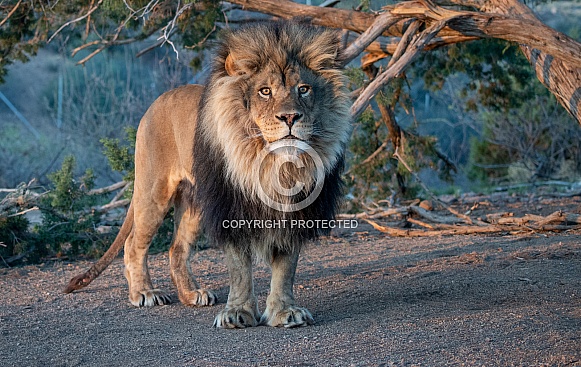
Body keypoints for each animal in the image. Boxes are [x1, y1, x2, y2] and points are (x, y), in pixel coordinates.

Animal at [65, 20, 352, 330]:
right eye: (265, 91)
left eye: (304, 89)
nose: (289, 117)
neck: (275, 165)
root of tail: (158, 100)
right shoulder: (230, 206)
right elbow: (239, 269)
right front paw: (237, 313)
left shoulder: (295, 211)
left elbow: (286, 268)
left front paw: (284, 312)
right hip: (154, 192)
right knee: (133, 244)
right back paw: (144, 292)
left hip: (193, 204)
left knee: (176, 248)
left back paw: (191, 294)